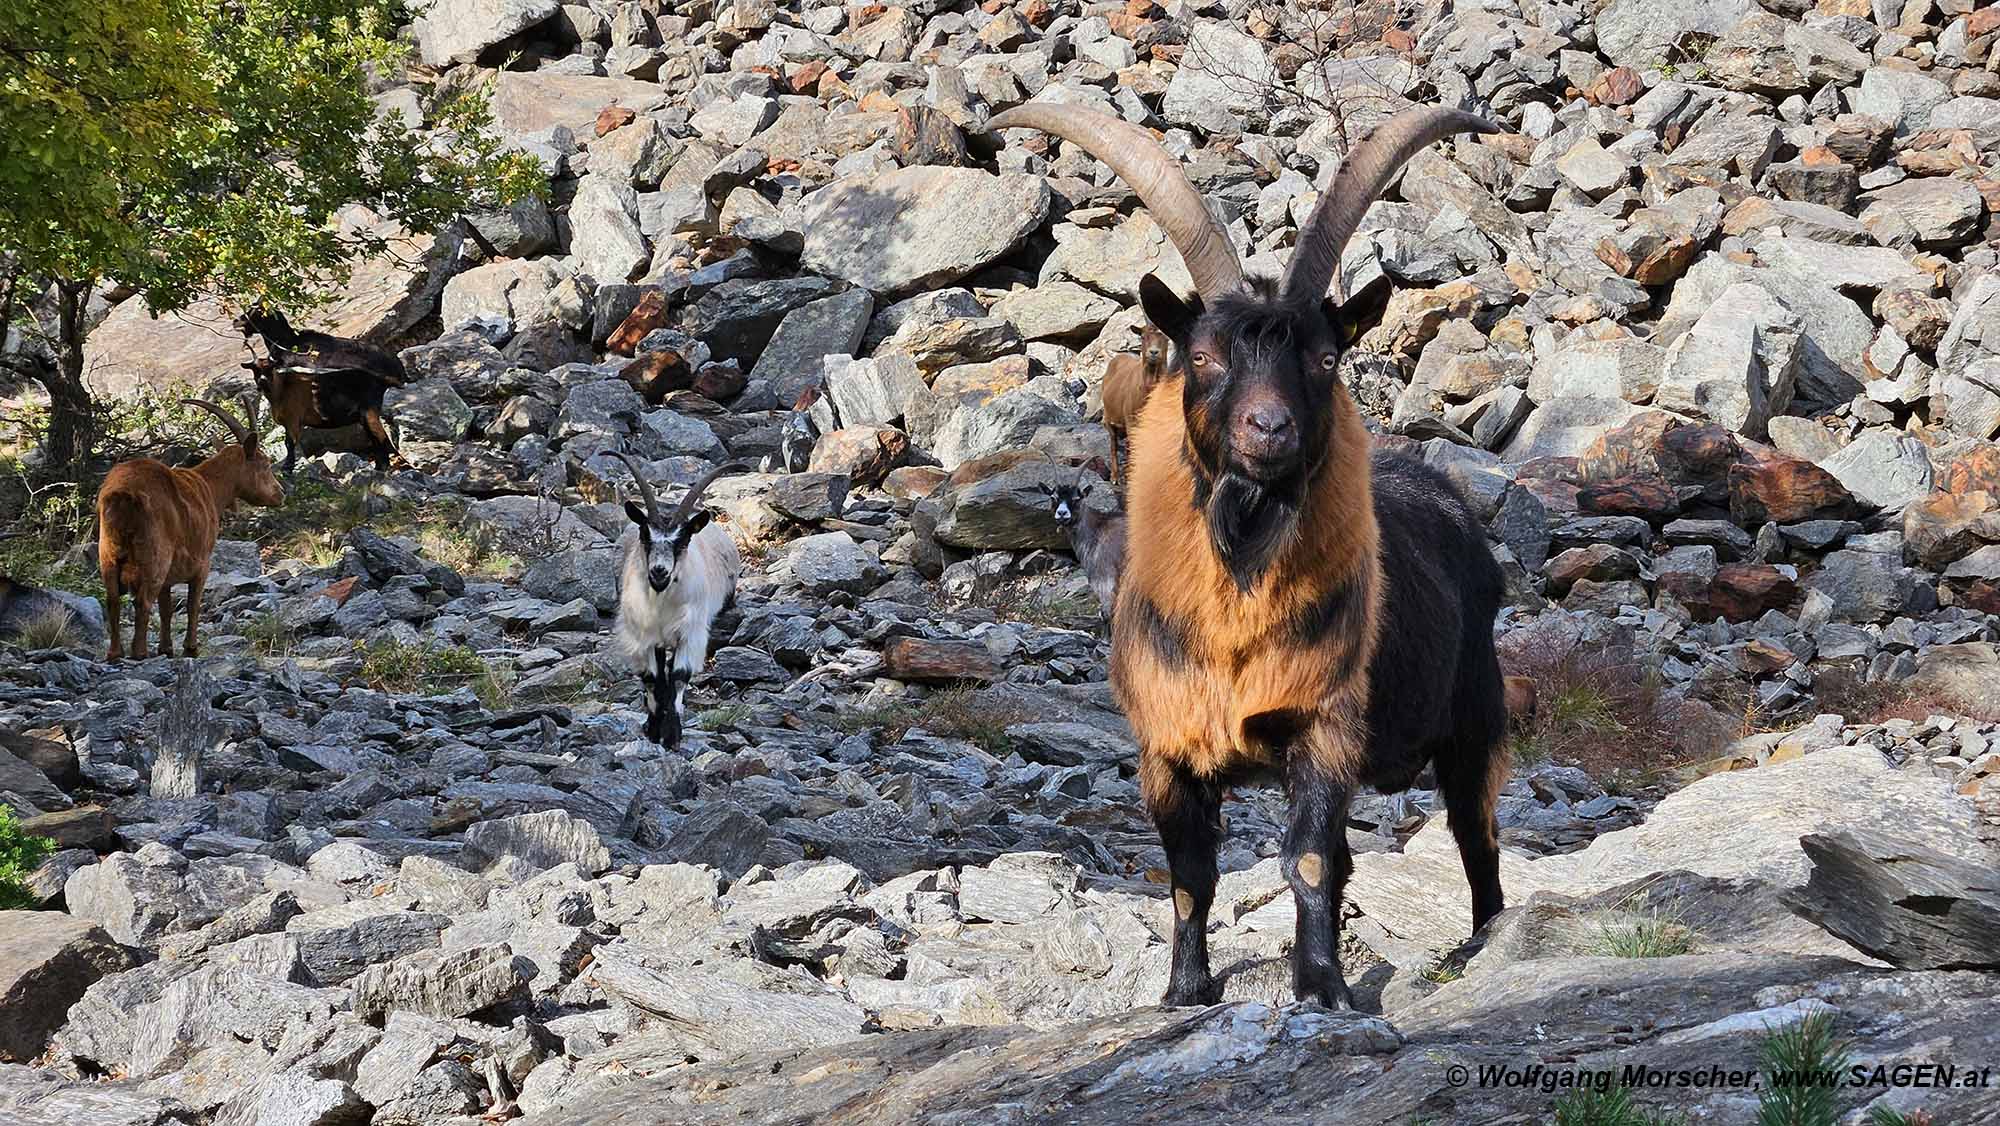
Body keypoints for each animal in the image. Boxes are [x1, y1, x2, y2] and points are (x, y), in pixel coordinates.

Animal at [608, 454, 744, 752]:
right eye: (644, 535)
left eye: (683, 540)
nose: (659, 572)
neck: (661, 602)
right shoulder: (641, 633)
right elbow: (651, 677)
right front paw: (654, 729)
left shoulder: (691, 631)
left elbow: (680, 675)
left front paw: (671, 735)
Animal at [1096, 324, 1168, 486]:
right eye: (1142, 336)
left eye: (1166, 336)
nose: (1153, 352)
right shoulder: (1132, 420)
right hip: (1109, 418)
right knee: (1114, 445)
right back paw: (1115, 477)